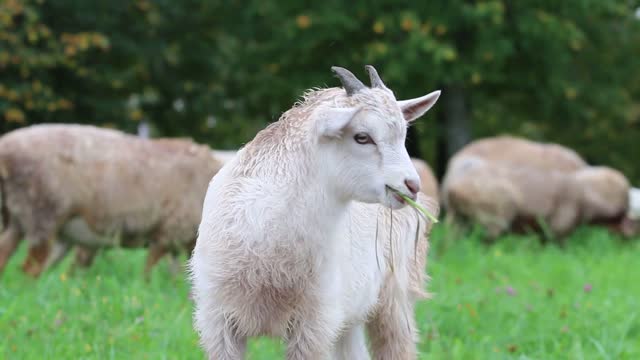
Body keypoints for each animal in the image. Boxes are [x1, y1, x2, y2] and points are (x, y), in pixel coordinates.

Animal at [0, 122, 222, 278]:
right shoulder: (169, 231)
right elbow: (148, 273)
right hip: (41, 214)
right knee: (29, 268)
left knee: (7, 255)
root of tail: (6, 149)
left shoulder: (178, 240)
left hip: (19, 220)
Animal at [189, 65, 440, 360]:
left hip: (394, 296)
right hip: (350, 312)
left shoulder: (314, 323)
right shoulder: (218, 322)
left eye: (403, 135)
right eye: (362, 137)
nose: (411, 185)